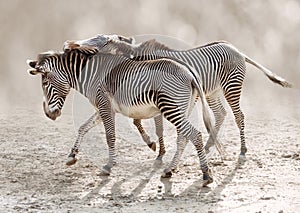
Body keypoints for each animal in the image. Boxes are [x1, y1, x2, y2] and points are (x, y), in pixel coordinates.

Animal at [26, 45, 218, 186]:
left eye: (45, 82)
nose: (49, 114)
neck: (92, 75)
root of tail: (189, 74)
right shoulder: (103, 108)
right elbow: (83, 127)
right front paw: (72, 155)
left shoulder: (104, 105)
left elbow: (110, 136)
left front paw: (109, 166)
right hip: (183, 109)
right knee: (183, 138)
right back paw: (170, 170)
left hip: (171, 107)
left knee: (195, 134)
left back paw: (206, 174)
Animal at [65, 34, 290, 161]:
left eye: (94, 43)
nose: (68, 45)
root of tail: (237, 50)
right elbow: (144, 122)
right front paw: (157, 149)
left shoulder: (156, 95)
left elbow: (150, 124)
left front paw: (156, 149)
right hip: (213, 92)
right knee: (220, 114)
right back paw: (209, 146)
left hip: (231, 87)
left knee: (238, 116)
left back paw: (242, 150)